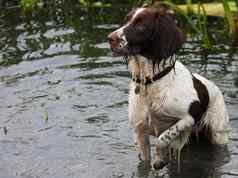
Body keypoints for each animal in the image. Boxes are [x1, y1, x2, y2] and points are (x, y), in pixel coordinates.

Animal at [107, 5, 229, 170]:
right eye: (126, 20)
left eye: (141, 25)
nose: (110, 38)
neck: (150, 83)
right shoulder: (139, 130)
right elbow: (144, 164)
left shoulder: (189, 117)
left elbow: (163, 138)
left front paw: (160, 160)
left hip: (218, 133)